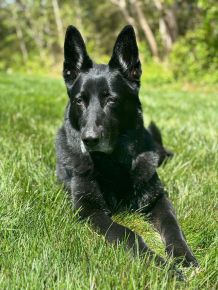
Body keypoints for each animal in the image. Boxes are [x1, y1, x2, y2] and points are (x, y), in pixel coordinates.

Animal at [55, 24, 198, 278]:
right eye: (80, 101)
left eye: (111, 99)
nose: (88, 140)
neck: (113, 165)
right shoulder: (89, 210)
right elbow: (128, 233)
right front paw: (162, 266)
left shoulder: (158, 199)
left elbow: (172, 226)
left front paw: (184, 257)